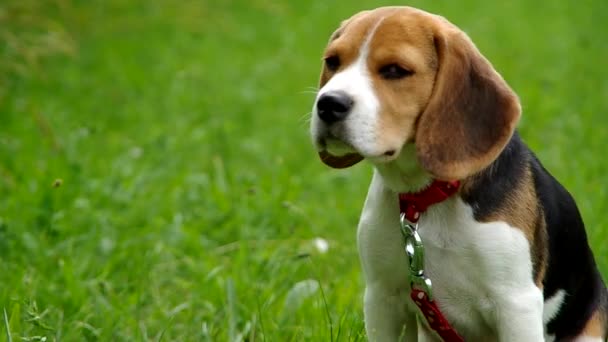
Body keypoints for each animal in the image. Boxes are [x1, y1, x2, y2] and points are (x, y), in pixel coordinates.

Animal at [312, 6, 604, 342]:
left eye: (395, 70)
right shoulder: (382, 298)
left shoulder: (516, 304)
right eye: (333, 62)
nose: (328, 104)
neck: (424, 198)